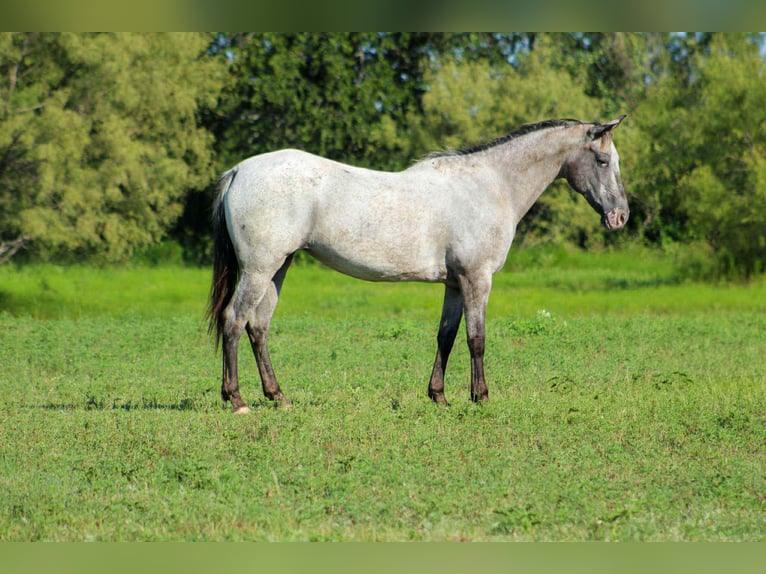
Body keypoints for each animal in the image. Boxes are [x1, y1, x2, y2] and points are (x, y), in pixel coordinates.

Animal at [208, 117, 629, 413]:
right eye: (603, 160)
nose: (620, 216)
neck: (491, 185)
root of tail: (240, 171)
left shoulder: (455, 284)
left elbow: (446, 335)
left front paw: (438, 396)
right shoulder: (477, 279)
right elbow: (476, 338)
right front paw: (481, 397)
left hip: (277, 269)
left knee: (258, 327)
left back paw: (278, 397)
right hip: (259, 270)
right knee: (234, 320)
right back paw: (237, 400)